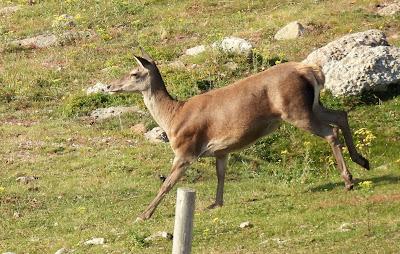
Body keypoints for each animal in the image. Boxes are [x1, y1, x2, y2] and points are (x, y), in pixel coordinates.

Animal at [106, 48, 368, 221]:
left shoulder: (186, 150)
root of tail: (310, 70)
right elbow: (221, 175)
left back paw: (348, 180)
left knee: (331, 131)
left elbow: (167, 184)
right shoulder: (222, 151)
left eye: (134, 73)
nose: (109, 85)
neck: (173, 118)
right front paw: (216, 203)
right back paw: (362, 161)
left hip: (296, 110)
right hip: (312, 106)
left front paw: (143, 215)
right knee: (341, 115)